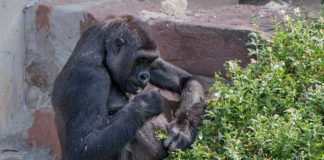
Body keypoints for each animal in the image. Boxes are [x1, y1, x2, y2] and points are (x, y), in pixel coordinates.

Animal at [52, 15, 206, 160]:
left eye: (149, 61)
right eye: (140, 59)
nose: (145, 76)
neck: (103, 49)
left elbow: (186, 79)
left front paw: (182, 129)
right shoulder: (88, 76)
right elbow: (82, 147)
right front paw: (144, 105)